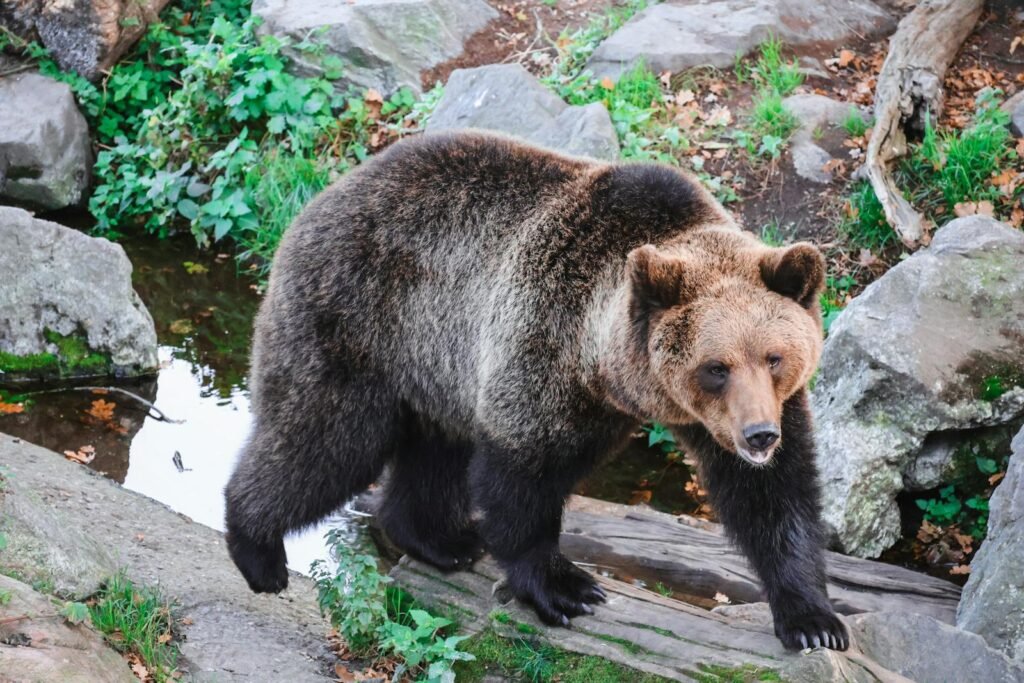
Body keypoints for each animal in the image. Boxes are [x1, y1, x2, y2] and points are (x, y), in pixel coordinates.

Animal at [224, 130, 848, 651]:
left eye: (774, 357)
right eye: (716, 367)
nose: (758, 435)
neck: (605, 368)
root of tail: (319, 196)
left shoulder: (736, 414)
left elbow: (774, 498)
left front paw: (814, 621)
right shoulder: (543, 339)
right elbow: (522, 475)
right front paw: (566, 587)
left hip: (434, 365)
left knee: (432, 451)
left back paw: (440, 539)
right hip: (363, 319)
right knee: (326, 439)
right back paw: (258, 550)